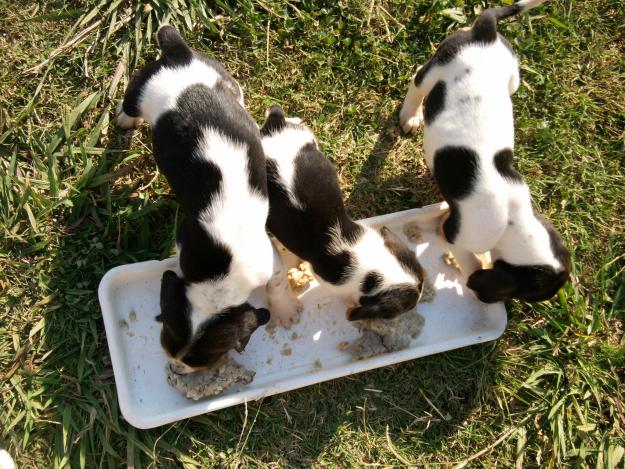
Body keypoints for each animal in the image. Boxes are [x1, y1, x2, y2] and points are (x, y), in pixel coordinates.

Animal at [117, 28, 302, 372]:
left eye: (205, 360)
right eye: (168, 340)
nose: (178, 368)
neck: (217, 286)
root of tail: (179, 54)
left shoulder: (268, 260)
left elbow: (277, 283)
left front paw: (284, 309)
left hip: (221, 77)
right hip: (141, 90)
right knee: (129, 102)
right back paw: (124, 118)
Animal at [400, 0, 572, 302]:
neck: (512, 221)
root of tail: (485, 34)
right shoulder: (458, 236)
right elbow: (470, 262)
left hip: (512, 76)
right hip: (438, 67)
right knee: (418, 78)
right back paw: (410, 114)